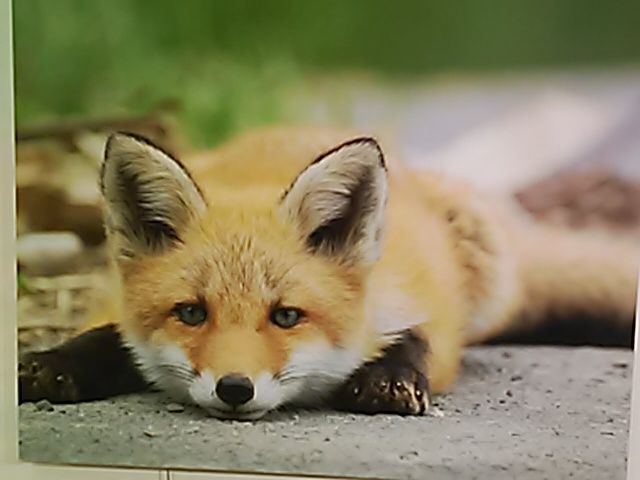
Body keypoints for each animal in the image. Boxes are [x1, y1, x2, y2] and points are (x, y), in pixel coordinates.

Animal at [17, 125, 636, 418]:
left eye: (287, 316)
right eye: (190, 313)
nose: (234, 389)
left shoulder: (424, 309)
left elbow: (417, 341)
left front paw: (389, 378)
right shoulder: (111, 304)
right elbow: (106, 338)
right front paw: (52, 364)